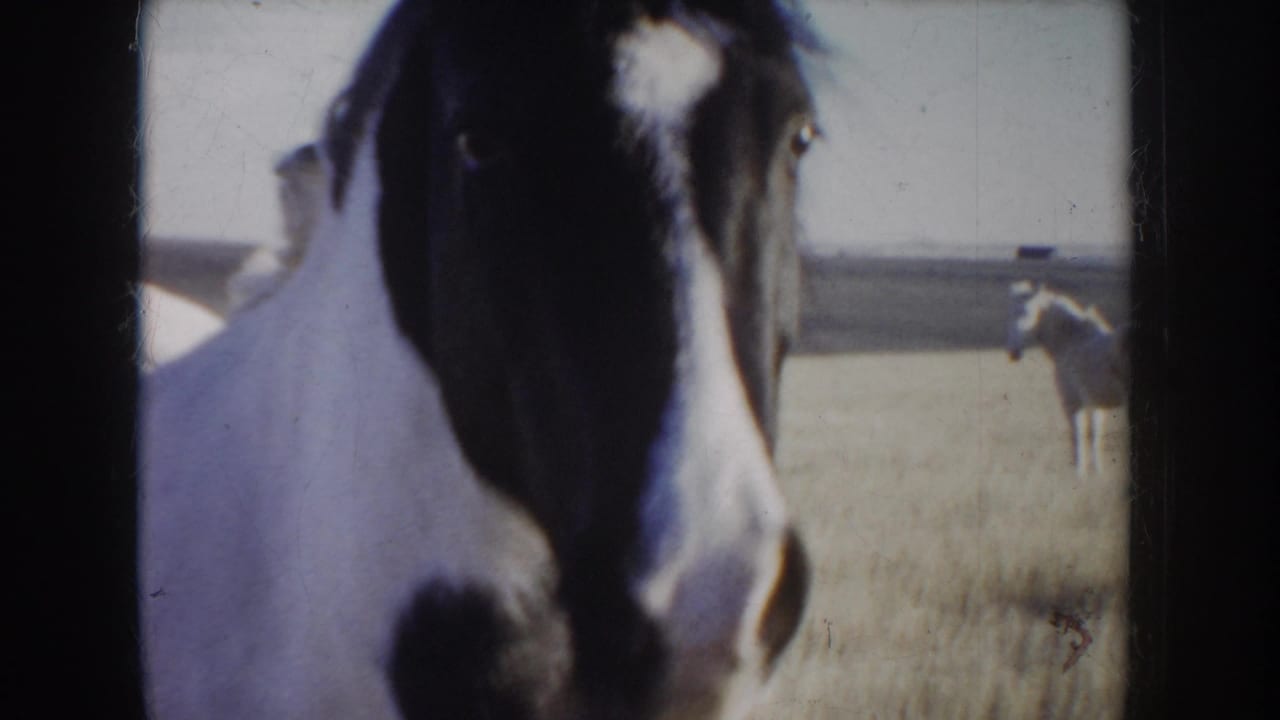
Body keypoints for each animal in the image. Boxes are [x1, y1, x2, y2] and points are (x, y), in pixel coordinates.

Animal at [1006, 280, 1129, 477]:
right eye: (1010, 313)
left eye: (1027, 312)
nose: (1013, 353)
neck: (1071, 340)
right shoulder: (1096, 406)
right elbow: (1095, 442)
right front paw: (1097, 475)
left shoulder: (1073, 404)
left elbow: (1078, 443)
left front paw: (1079, 476)